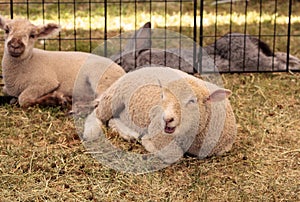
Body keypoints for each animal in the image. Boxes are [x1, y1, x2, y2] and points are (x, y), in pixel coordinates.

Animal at [85, 67, 237, 163]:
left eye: (192, 101)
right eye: (162, 96)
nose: (167, 119)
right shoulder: (157, 130)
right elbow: (174, 154)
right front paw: (147, 141)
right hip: (114, 96)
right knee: (96, 114)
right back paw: (91, 131)